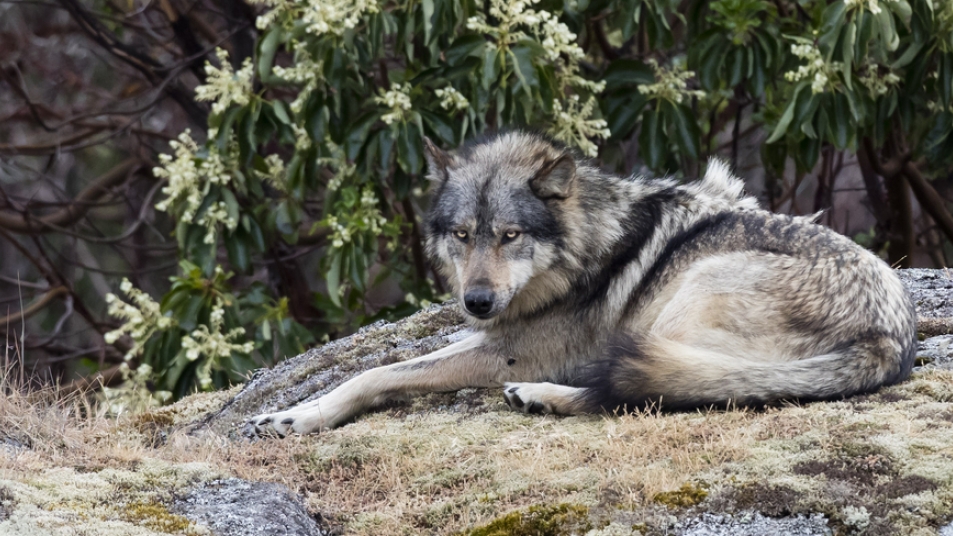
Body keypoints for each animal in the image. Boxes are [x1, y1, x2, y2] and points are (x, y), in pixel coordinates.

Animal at [249, 132, 920, 438]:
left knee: (643, 393)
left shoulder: (516, 350)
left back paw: (541, 396)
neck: (585, 247)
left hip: (685, 301)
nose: (477, 301)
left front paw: (304, 416)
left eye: (511, 235)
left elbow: (380, 371)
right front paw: (291, 413)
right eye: (463, 235)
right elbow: (377, 366)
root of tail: (889, 339)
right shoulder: (498, 335)